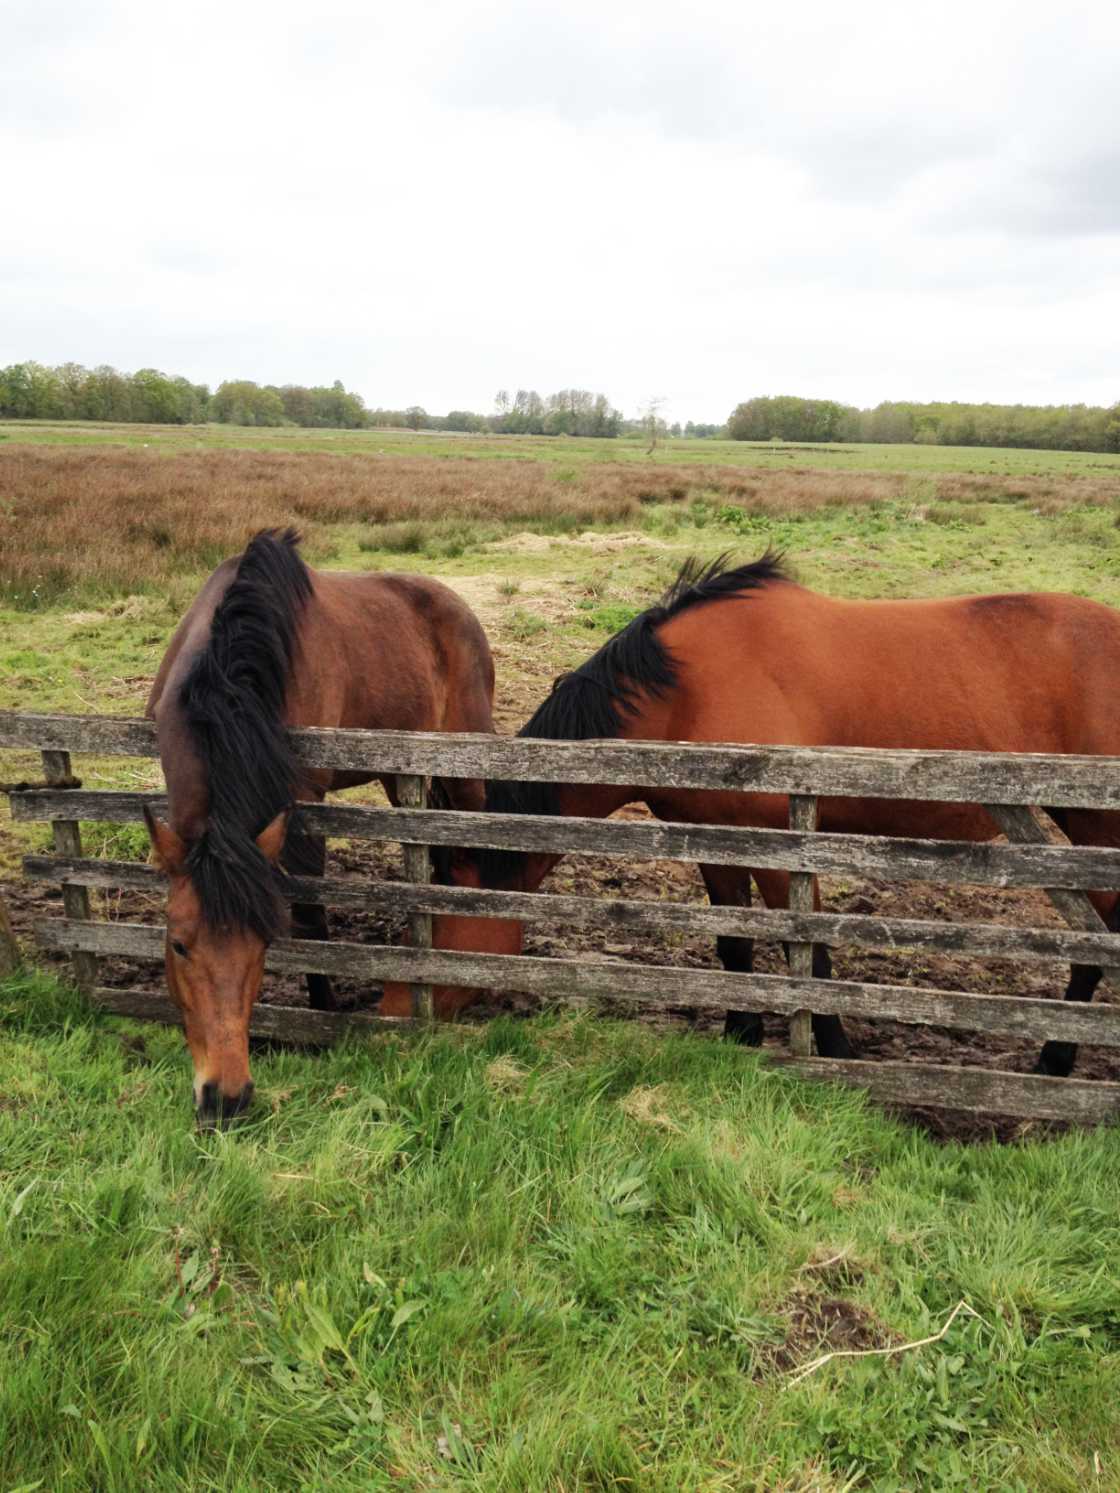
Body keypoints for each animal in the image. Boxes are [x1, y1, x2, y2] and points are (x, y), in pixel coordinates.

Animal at [145, 531, 495, 1122]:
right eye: (179, 946)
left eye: (264, 944)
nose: (225, 1099)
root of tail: (455, 603)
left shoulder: (303, 802)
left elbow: (310, 915)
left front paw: (321, 1016)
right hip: (399, 770)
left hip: (464, 759)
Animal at [385, 552, 1120, 1074]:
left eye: (437, 917)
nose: (389, 1014)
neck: (686, 694)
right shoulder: (712, 839)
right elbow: (734, 942)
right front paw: (739, 1036)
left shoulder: (782, 842)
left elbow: (811, 956)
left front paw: (834, 1052)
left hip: (1095, 826)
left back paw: (1055, 1058)